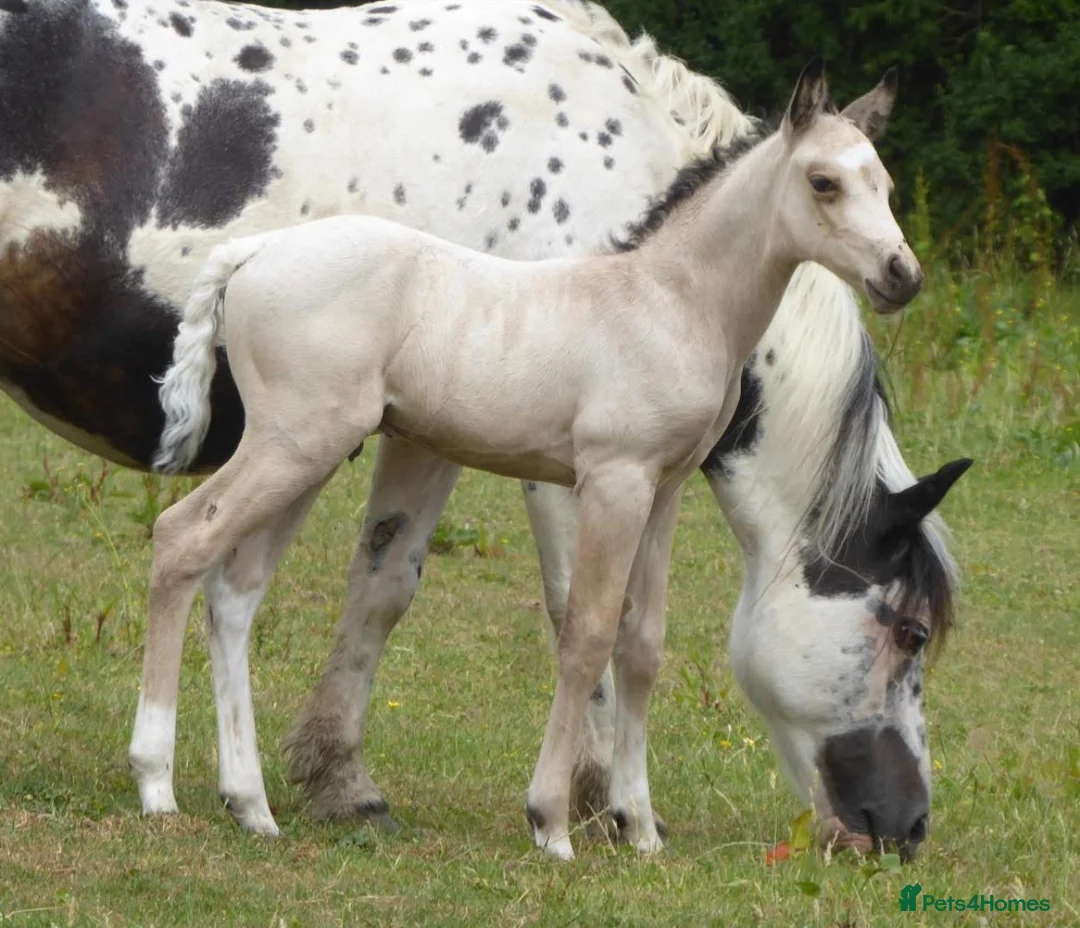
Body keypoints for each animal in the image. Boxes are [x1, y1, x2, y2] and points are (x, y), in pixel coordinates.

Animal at [0, 0, 967, 858]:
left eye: (884, 182)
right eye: (907, 631)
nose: (902, 827)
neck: (662, 295)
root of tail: (254, 255)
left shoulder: (657, 493)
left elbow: (639, 643)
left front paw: (640, 828)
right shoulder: (598, 479)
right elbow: (580, 628)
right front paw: (560, 818)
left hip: (297, 455)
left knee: (233, 589)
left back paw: (252, 805)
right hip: (289, 448)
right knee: (179, 541)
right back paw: (157, 782)